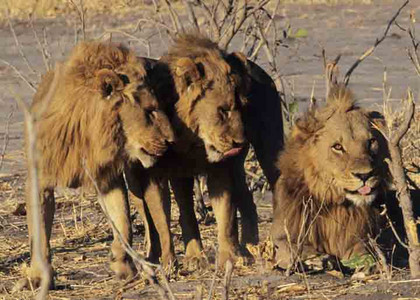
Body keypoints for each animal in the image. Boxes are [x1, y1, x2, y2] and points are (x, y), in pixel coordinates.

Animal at [17, 39, 175, 288]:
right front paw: (39, 276)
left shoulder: (107, 178)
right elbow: (40, 231)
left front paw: (121, 265)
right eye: (149, 111)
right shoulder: (40, 177)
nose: (172, 140)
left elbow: (123, 222)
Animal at [126, 34, 284, 268]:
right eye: (223, 110)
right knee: (245, 200)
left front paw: (227, 259)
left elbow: (226, 216)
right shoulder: (159, 175)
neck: (192, 139)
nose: (239, 142)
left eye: (243, 106)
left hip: (268, 146)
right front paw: (175, 262)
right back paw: (248, 248)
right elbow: (164, 219)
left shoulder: (219, 169)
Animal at [270, 85, 388, 270]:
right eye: (338, 147)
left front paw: (367, 261)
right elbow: (290, 247)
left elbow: (364, 246)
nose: (365, 175)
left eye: (371, 142)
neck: (334, 203)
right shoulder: (279, 236)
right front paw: (316, 258)